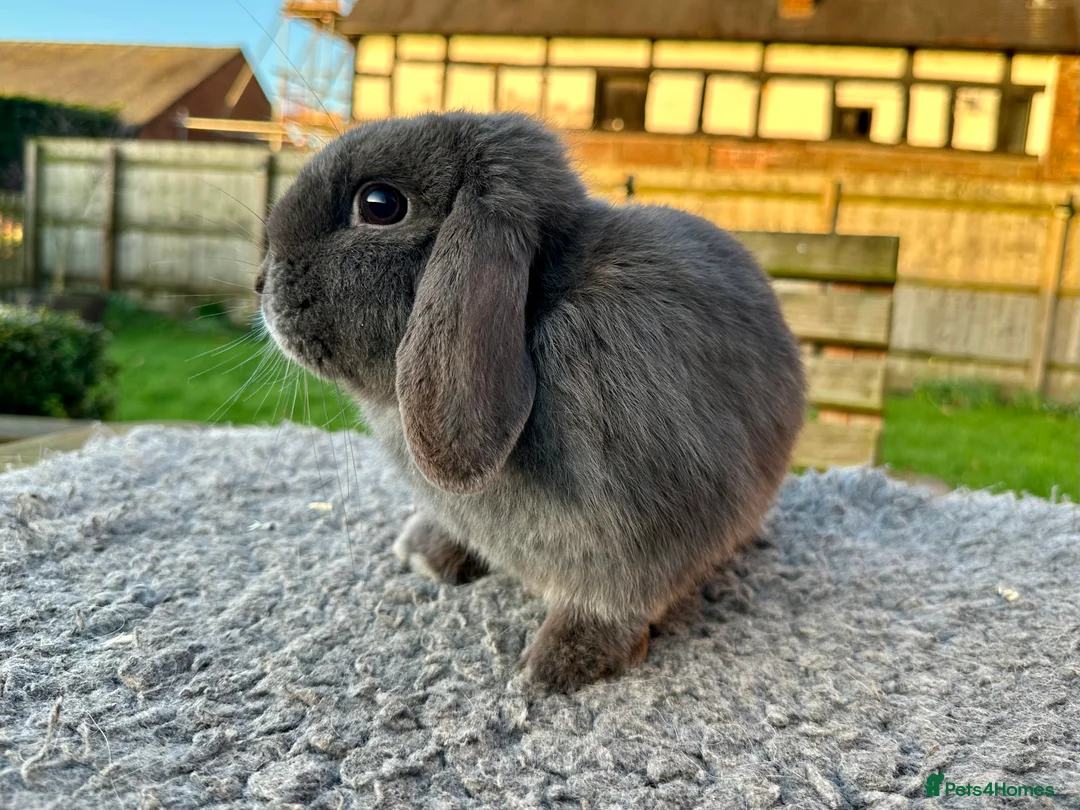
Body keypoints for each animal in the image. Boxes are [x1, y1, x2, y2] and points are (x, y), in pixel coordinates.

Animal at [256, 111, 806, 692]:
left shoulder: (646, 543)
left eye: (379, 204)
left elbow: (613, 604)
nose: (260, 283)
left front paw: (556, 664)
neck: (542, 309)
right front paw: (428, 557)